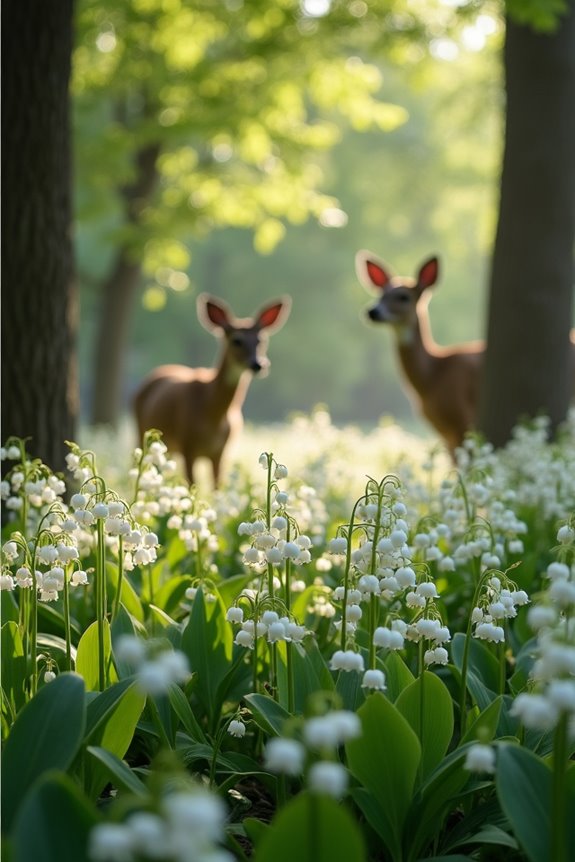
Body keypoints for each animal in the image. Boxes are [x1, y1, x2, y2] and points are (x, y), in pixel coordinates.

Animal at [133, 293, 291, 487]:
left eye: (261, 340)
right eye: (236, 340)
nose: (258, 364)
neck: (212, 412)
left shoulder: (221, 451)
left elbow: (218, 487)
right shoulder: (188, 445)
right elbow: (192, 484)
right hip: (143, 432)